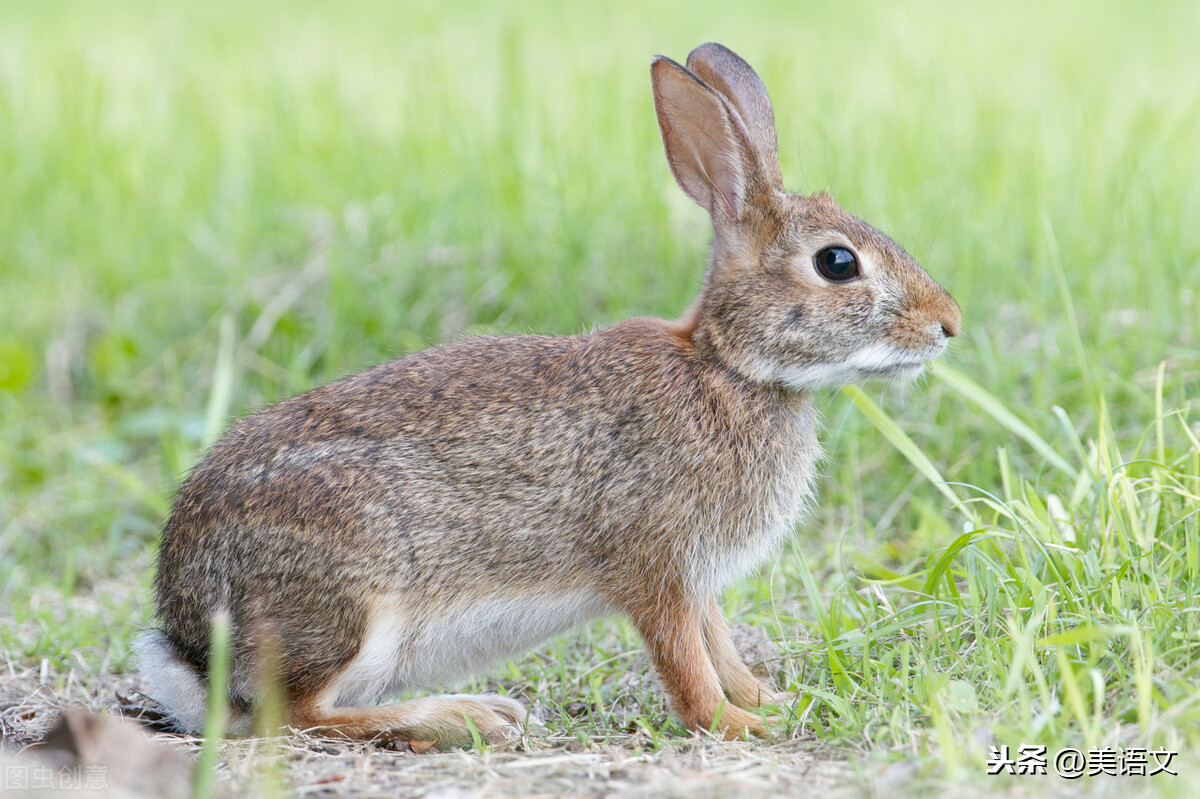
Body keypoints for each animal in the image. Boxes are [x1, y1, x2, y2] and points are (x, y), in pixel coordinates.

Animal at [136, 41, 960, 739]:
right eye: (837, 263)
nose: (948, 324)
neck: (728, 367)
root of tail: (188, 645)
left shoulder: (698, 580)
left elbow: (718, 643)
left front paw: (772, 699)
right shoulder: (655, 565)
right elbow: (685, 664)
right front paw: (740, 725)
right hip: (350, 600)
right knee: (298, 714)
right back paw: (465, 717)